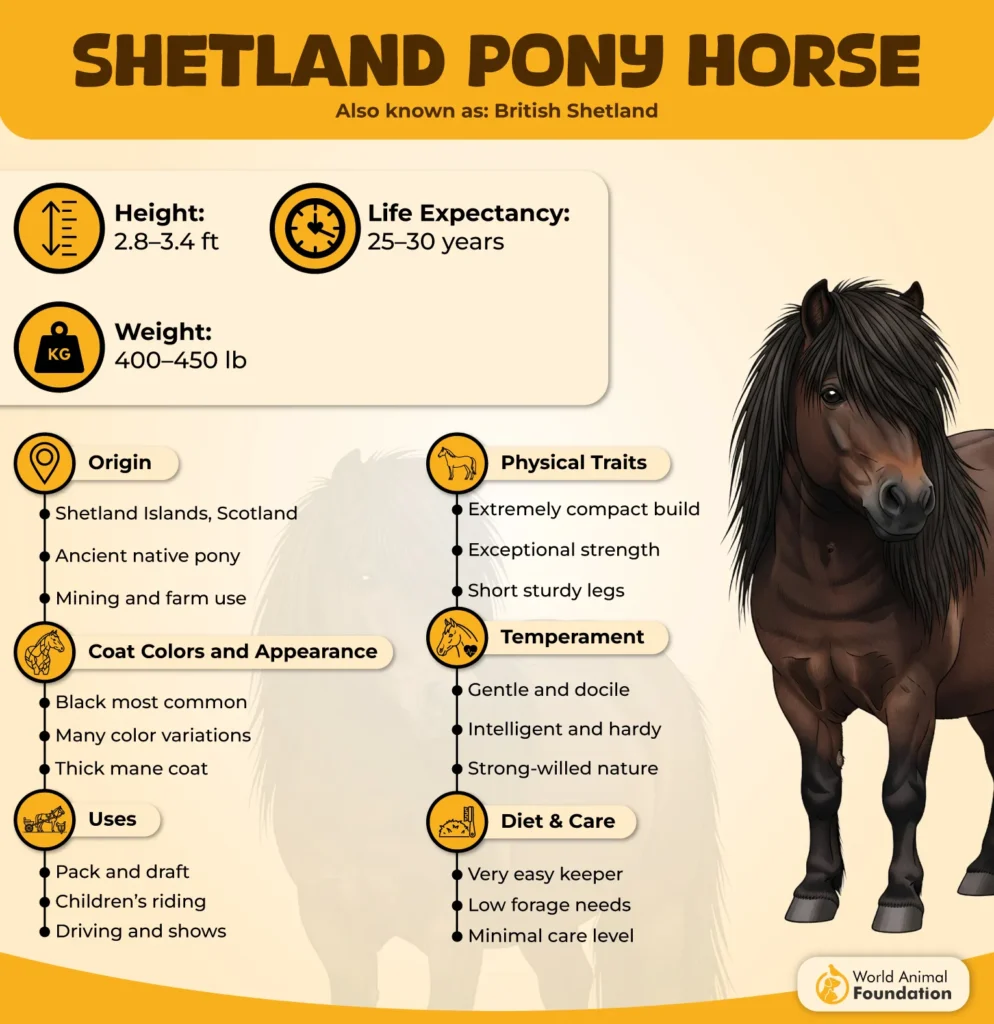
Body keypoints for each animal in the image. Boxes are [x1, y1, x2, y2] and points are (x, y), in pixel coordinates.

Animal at [730, 278, 993, 934]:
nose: (910, 501)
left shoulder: (911, 693)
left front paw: (900, 900)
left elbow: (902, 793)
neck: (830, 580)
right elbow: (820, 789)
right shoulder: (798, 692)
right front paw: (815, 890)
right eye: (832, 392)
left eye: (921, 393)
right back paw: (983, 871)